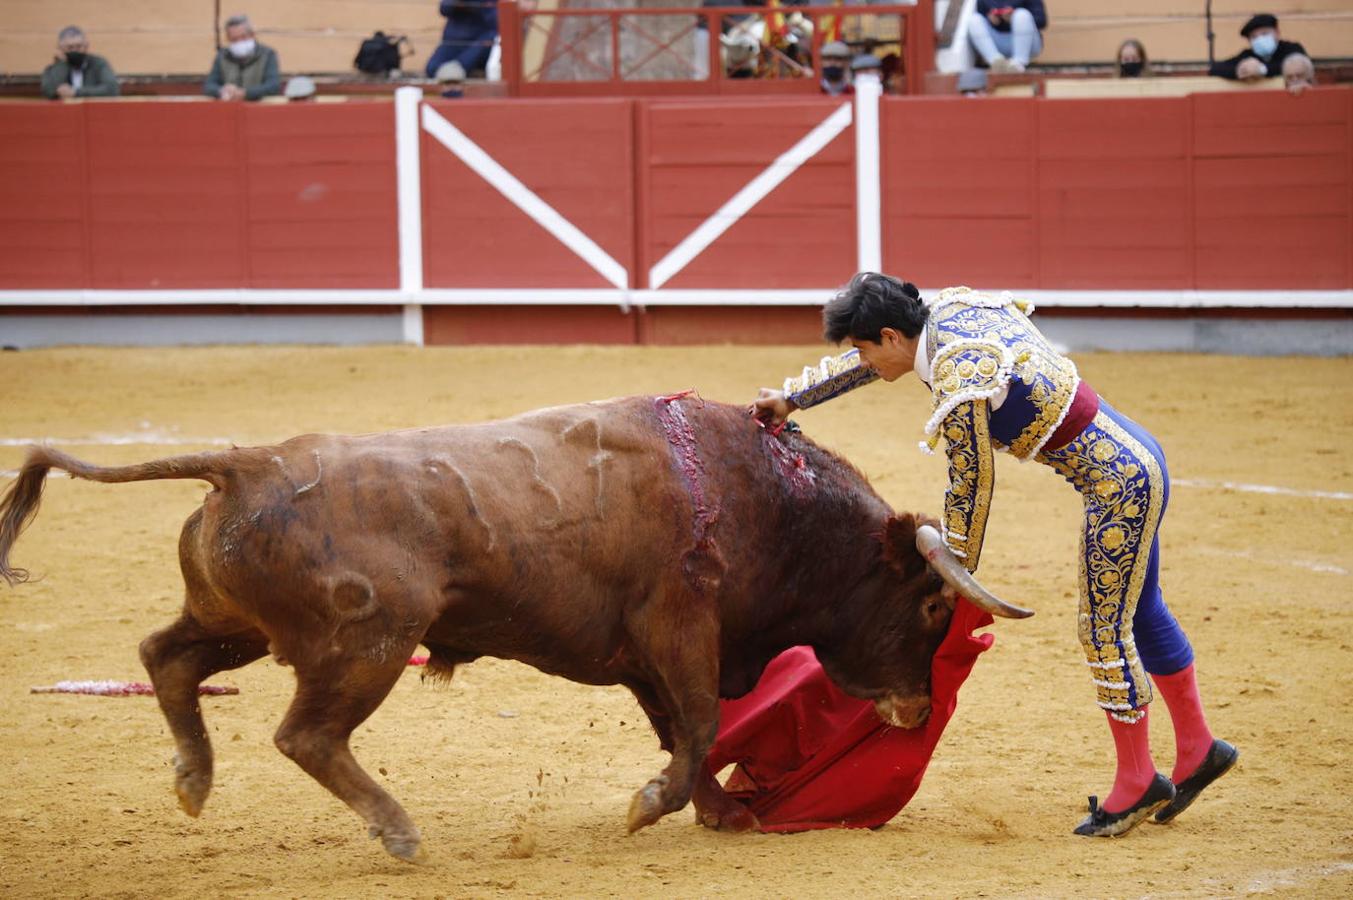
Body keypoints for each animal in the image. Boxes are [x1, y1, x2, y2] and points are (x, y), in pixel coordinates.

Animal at [0, 392, 1022, 855]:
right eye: (932, 606)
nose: (913, 711)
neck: (766, 499)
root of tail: (245, 463)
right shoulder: (681, 627)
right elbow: (697, 725)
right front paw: (654, 805)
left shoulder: (646, 653)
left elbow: (686, 731)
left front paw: (722, 811)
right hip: (370, 643)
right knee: (305, 735)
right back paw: (398, 832)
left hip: (238, 624)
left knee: (166, 656)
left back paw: (192, 781)